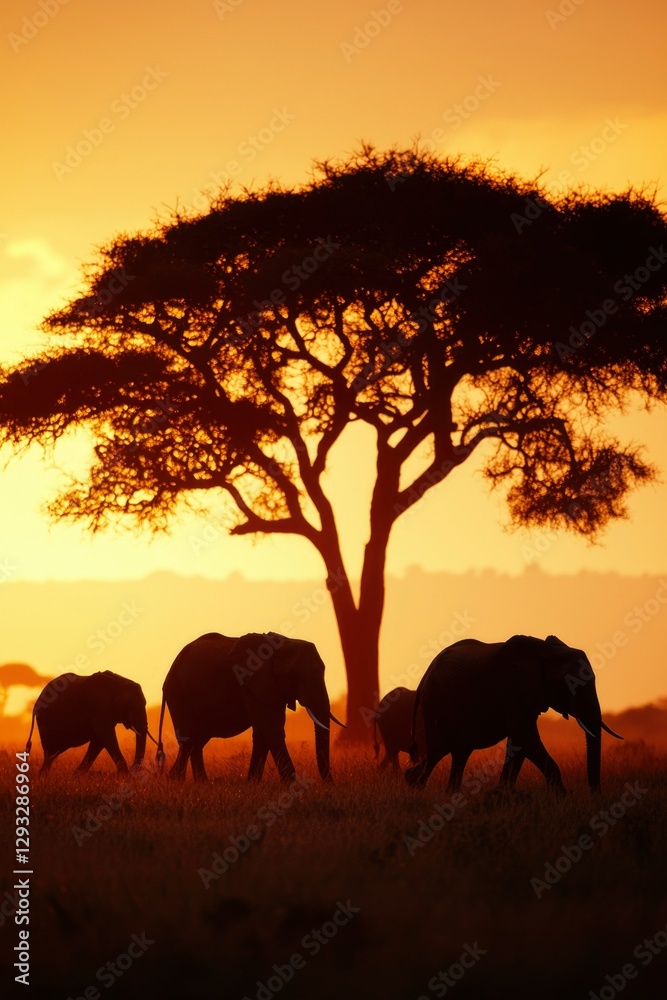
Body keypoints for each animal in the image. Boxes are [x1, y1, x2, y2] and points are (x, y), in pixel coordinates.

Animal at [25, 670, 154, 775]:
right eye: (128, 706)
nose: (133, 769)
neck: (119, 683)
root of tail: (36, 702)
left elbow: (99, 740)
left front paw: (77, 775)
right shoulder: (98, 708)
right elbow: (105, 736)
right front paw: (126, 777)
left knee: (53, 753)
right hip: (46, 721)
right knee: (50, 752)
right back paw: (43, 776)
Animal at [157, 631, 345, 782]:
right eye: (293, 675)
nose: (329, 785)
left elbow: (264, 732)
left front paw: (252, 783)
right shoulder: (250, 683)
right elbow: (271, 729)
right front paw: (292, 784)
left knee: (197, 742)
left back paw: (201, 783)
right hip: (179, 696)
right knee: (188, 740)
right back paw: (177, 781)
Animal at [404, 635, 622, 793]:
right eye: (573, 685)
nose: (595, 795)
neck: (546, 652)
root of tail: (424, 676)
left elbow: (519, 742)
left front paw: (502, 793)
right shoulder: (511, 690)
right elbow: (526, 737)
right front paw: (562, 798)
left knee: (455, 750)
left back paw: (431, 787)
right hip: (436, 703)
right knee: (441, 747)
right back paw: (418, 787)